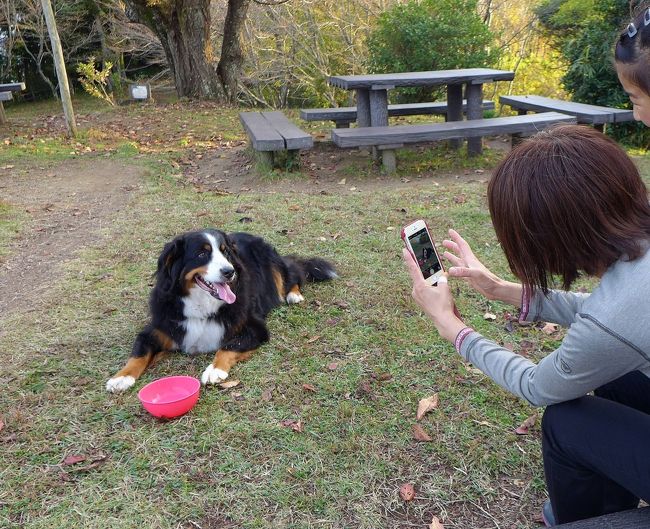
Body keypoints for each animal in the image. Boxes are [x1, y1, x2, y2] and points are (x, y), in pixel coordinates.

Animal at [105, 228, 334, 392]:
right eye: (202, 253)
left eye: (225, 252)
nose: (229, 272)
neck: (202, 305)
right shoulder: (158, 328)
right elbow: (139, 352)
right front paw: (121, 377)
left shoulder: (254, 328)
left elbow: (229, 346)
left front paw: (215, 370)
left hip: (274, 268)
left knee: (293, 273)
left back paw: (294, 295)